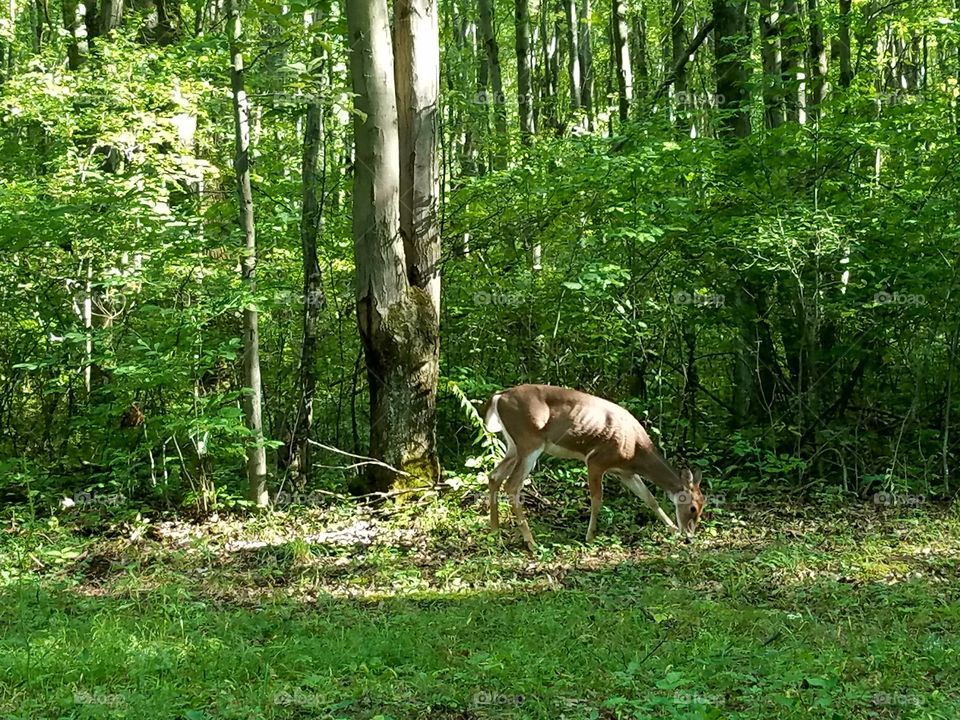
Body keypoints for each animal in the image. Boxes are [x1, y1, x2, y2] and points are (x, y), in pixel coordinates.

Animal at [482, 384, 705, 551]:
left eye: (703, 507)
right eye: (692, 508)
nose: (689, 536)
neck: (635, 450)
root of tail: (499, 397)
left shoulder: (626, 472)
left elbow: (649, 499)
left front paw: (672, 529)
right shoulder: (596, 461)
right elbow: (597, 499)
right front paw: (589, 536)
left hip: (513, 445)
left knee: (494, 476)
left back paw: (495, 533)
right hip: (530, 441)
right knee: (512, 485)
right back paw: (531, 542)